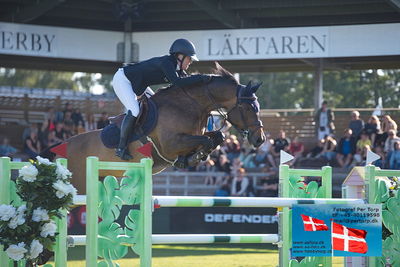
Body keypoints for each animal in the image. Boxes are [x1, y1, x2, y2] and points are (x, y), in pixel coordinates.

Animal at [53, 63, 266, 194]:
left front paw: (195, 157)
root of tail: (60, 148)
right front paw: (193, 157)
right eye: (248, 108)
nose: (260, 139)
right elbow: (205, 140)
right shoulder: (170, 145)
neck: (189, 106)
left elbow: (217, 137)